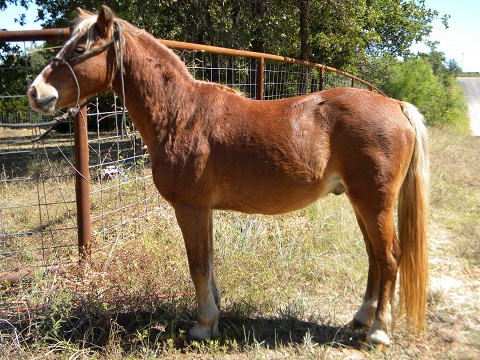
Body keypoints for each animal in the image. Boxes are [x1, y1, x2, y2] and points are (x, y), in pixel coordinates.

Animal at [29, 5, 428, 346]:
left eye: (80, 47)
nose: (36, 92)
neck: (180, 114)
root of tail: (396, 105)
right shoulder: (202, 210)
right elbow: (208, 263)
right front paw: (216, 314)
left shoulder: (189, 207)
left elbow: (198, 265)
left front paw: (203, 325)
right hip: (363, 205)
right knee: (375, 258)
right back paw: (361, 318)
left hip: (374, 204)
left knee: (389, 258)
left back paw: (378, 331)